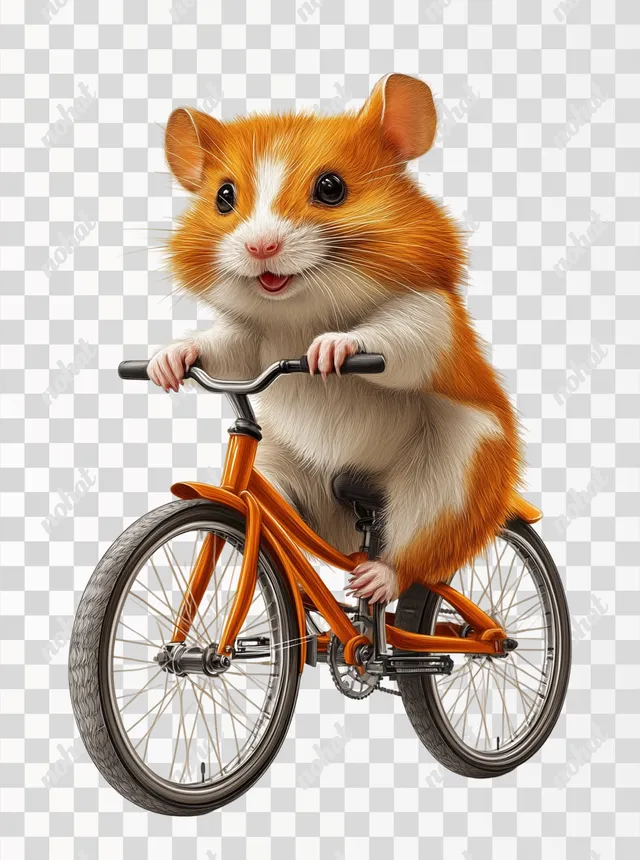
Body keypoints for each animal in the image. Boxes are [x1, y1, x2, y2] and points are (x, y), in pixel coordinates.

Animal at [149, 73, 522, 603]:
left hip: (456, 473)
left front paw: (331, 349)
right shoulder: (251, 339)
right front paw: (167, 360)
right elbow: (224, 348)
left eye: (331, 187)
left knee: (421, 551)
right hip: (285, 470)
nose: (260, 247)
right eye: (223, 196)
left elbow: (399, 338)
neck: (303, 312)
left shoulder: (431, 314)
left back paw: (377, 581)